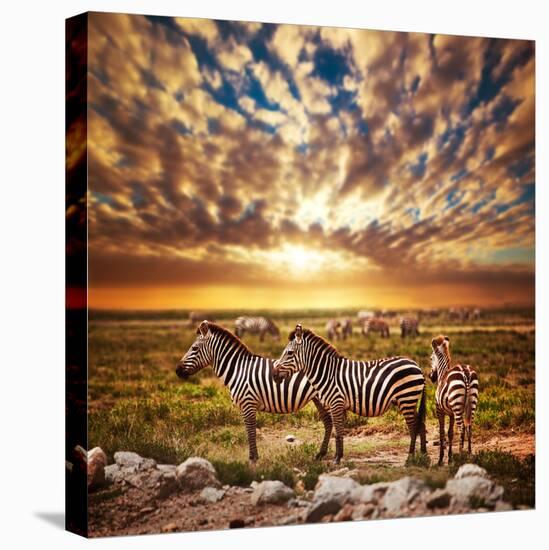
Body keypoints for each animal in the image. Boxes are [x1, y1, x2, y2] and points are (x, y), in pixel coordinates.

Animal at [176, 322, 332, 464]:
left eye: (194, 348)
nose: (177, 371)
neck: (238, 370)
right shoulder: (245, 406)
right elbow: (249, 430)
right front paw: (253, 456)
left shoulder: (248, 403)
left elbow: (251, 431)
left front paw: (253, 458)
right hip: (319, 399)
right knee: (328, 421)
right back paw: (321, 454)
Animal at [272, 326, 426, 464]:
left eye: (290, 353)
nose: (274, 375)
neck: (328, 374)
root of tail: (416, 365)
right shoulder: (335, 405)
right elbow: (338, 430)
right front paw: (338, 456)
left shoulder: (336, 403)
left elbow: (338, 431)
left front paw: (336, 459)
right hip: (409, 400)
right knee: (420, 424)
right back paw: (423, 455)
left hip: (406, 398)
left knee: (413, 427)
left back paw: (410, 458)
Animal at [430, 336, 478, 466]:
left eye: (430, 359)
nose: (431, 377)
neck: (442, 373)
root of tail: (465, 372)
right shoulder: (451, 413)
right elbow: (450, 433)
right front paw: (450, 458)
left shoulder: (439, 410)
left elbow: (442, 433)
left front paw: (441, 459)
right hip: (471, 404)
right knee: (469, 427)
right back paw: (469, 454)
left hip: (457, 406)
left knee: (462, 429)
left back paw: (461, 455)